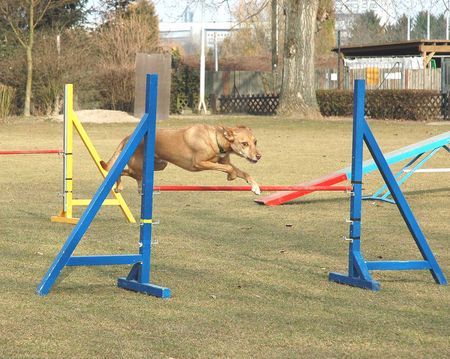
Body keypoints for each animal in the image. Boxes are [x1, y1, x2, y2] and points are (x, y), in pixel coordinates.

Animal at [100, 124, 262, 197]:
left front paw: (255, 187)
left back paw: (130, 187)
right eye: (244, 144)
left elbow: (244, 172)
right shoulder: (199, 163)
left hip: (159, 165)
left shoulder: (224, 161)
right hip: (138, 166)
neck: (216, 139)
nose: (258, 156)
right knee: (121, 171)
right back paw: (120, 185)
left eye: (255, 142)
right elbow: (230, 169)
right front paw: (231, 176)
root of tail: (128, 137)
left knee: (127, 172)